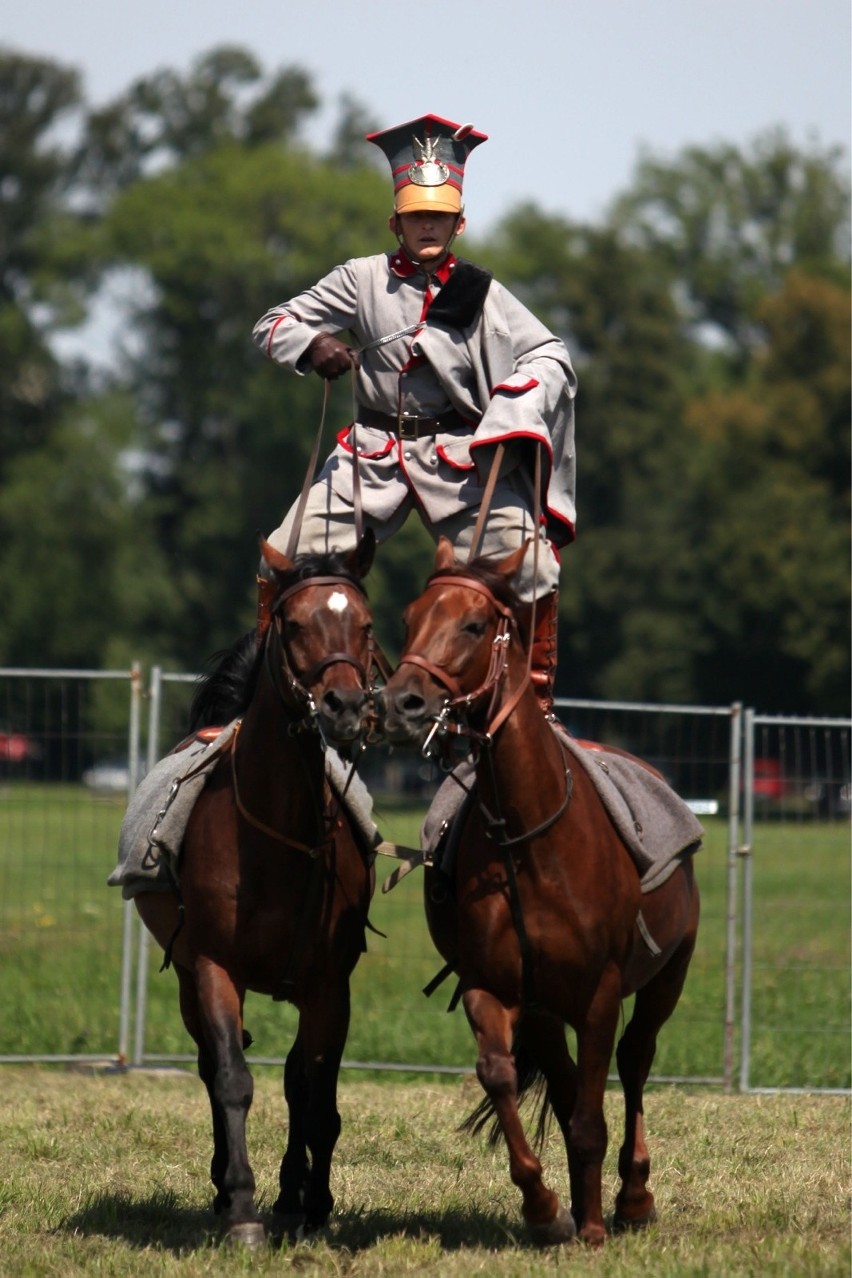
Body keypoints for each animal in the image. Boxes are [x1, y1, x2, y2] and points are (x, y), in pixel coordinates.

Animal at [134, 531, 378, 1247]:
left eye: (366, 623)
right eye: (294, 624)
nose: (345, 706)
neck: (276, 833)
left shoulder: (329, 983)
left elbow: (314, 1090)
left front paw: (308, 1202)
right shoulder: (215, 967)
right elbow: (233, 1079)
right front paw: (243, 1206)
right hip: (189, 977)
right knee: (212, 1066)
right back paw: (224, 1190)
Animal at [378, 539, 699, 1247]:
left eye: (474, 625)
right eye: (410, 617)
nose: (402, 702)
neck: (527, 840)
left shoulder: (600, 993)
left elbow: (592, 1112)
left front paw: (595, 1226)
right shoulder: (495, 987)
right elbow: (503, 1075)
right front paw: (545, 1207)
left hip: (669, 974)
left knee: (636, 1059)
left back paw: (633, 1197)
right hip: (548, 1011)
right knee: (566, 1079)